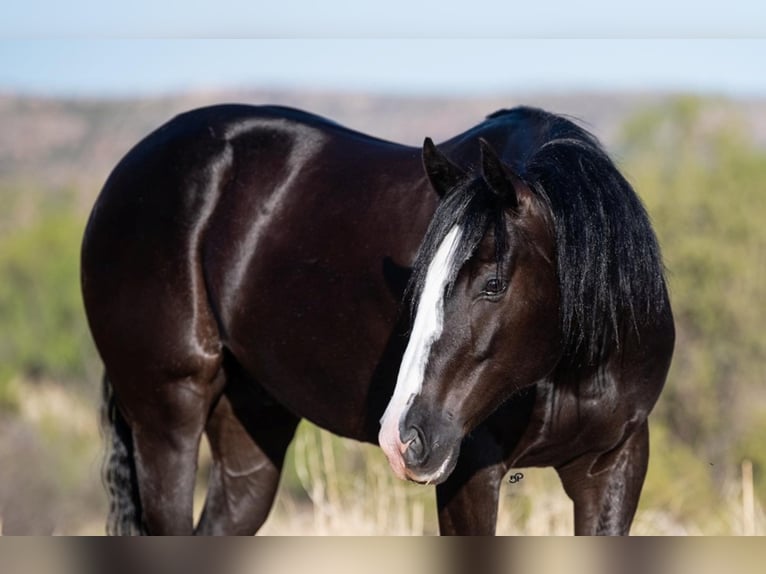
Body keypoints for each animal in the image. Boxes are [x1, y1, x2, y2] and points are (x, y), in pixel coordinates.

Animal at [81, 104, 676, 540]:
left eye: (492, 284)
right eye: (419, 282)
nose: (402, 438)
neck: (576, 364)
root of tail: (126, 175)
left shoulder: (614, 468)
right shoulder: (470, 475)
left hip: (252, 425)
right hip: (167, 419)